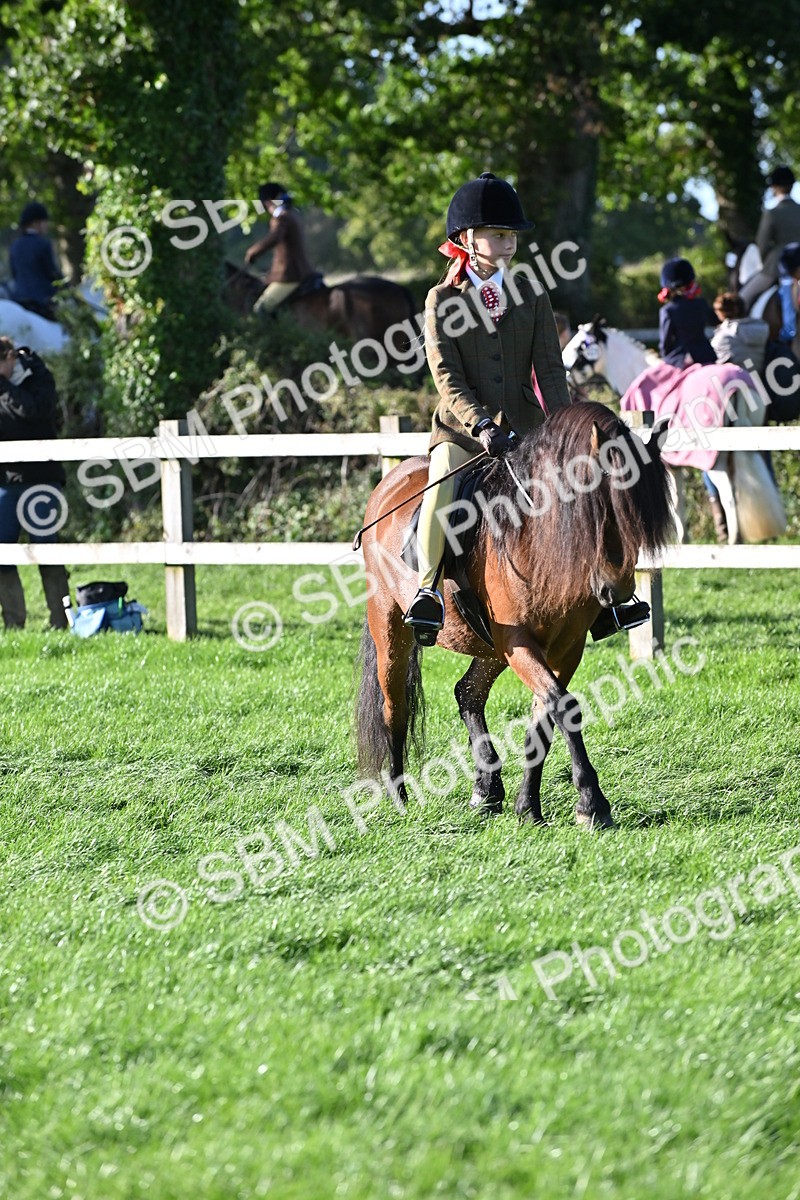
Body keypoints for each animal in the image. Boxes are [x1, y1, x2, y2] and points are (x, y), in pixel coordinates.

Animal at [355, 401, 675, 830]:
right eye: (604, 508)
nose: (616, 592)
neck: (539, 538)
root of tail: (388, 484)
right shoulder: (518, 641)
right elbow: (563, 706)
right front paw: (592, 803)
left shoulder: (564, 647)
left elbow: (545, 718)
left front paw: (528, 807)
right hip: (391, 630)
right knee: (395, 707)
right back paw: (399, 796)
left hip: (491, 650)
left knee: (468, 693)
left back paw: (486, 790)